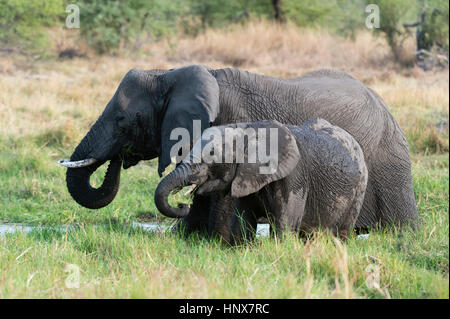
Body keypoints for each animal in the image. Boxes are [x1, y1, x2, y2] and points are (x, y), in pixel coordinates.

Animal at [155, 119, 366, 244]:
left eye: (213, 154)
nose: (183, 205)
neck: (250, 129)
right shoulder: (245, 176)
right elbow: (242, 222)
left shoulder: (294, 177)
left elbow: (285, 225)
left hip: (360, 188)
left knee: (342, 232)